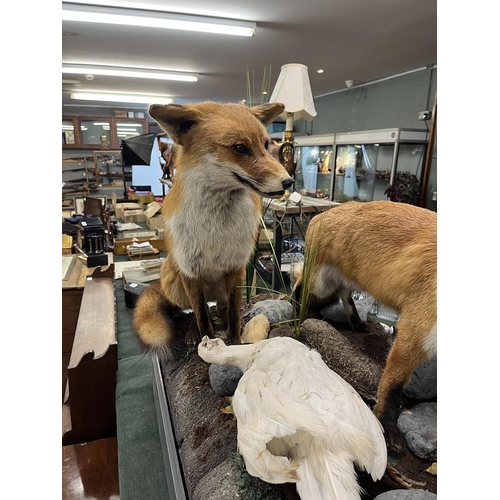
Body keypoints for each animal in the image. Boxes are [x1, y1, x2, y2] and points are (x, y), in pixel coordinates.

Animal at [133, 101, 292, 360]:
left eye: (266, 144)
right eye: (240, 148)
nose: (289, 182)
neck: (217, 230)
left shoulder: (237, 267)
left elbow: (234, 315)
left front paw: (235, 341)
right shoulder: (190, 270)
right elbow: (200, 315)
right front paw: (206, 343)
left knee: (220, 308)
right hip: (173, 278)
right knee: (194, 312)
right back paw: (192, 332)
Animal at [294, 200, 436, 454]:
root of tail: (326, 212)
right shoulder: (417, 328)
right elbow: (392, 386)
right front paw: (387, 427)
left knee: (344, 292)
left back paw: (356, 322)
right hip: (319, 283)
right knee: (298, 284)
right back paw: (297, 312)